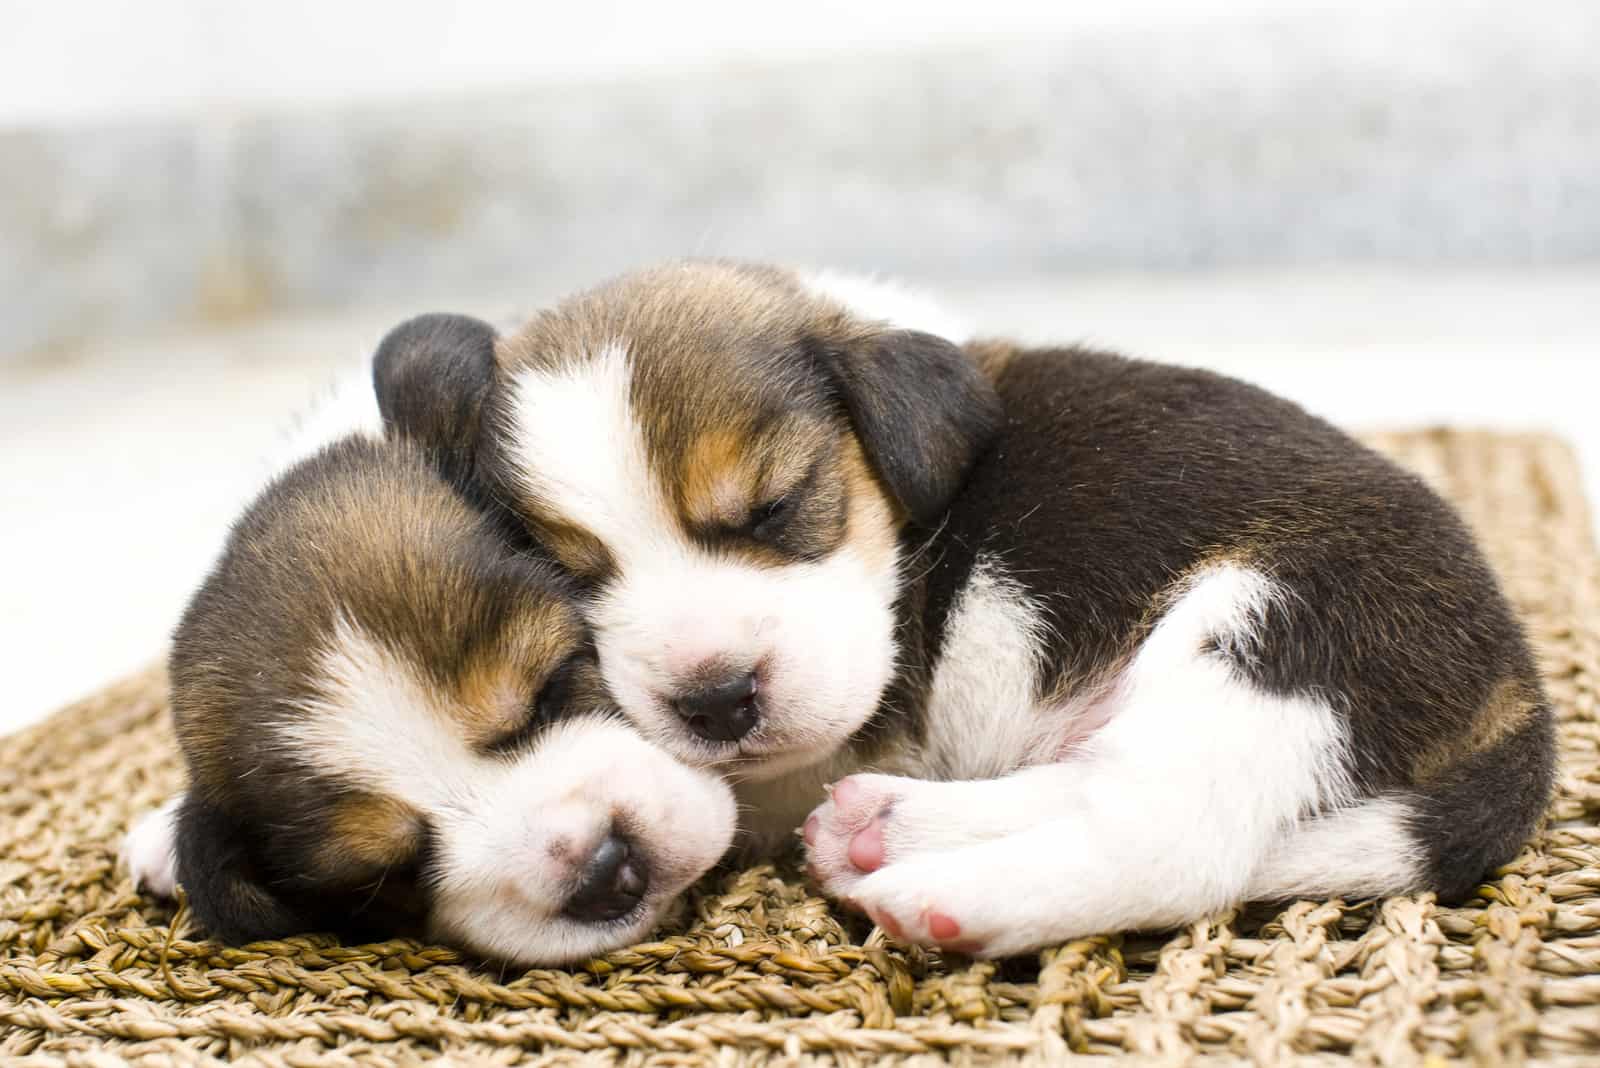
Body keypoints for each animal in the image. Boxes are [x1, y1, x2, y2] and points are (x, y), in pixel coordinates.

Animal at [393, 260, 1555, 959]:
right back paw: (889, 830)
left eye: (775, 507)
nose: (714, 701)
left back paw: (945, 894)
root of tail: (1518, 685)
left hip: (1266, 629)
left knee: (1168, 840)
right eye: (576, 575)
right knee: (1100, 783)